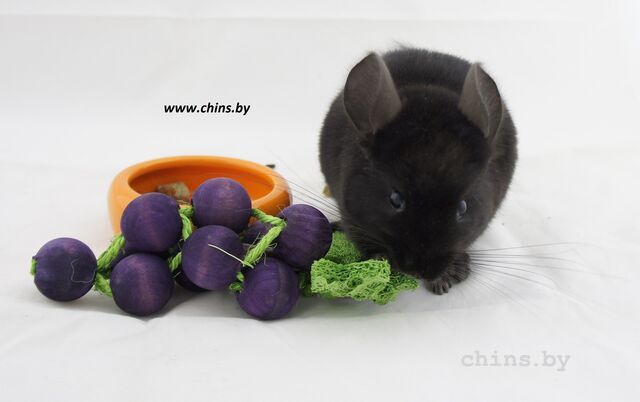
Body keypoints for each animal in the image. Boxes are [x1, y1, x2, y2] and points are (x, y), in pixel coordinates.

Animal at [319, 48, 517, 294]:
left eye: (463, 207)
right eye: (395, 199)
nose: (418, 271)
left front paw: (445, 280)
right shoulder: (350, 213)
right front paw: (380, 260)